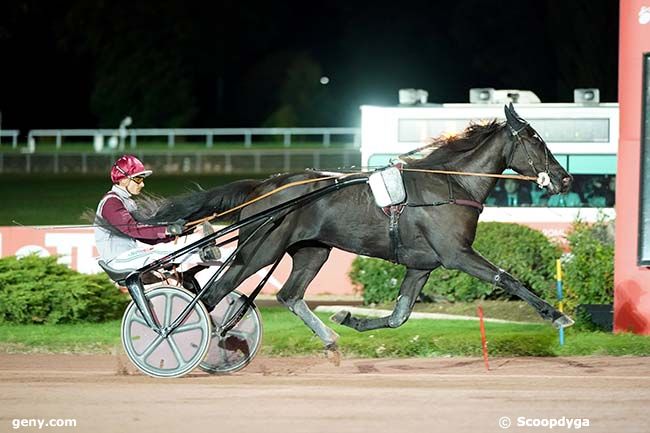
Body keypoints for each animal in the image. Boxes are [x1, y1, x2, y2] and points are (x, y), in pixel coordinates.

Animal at [137, 104, 572, 352]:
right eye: (535, 138)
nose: (564, 179)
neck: (451, 185)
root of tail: (264, 185)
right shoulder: (457, 255)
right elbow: (507, 278)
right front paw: (556, 316)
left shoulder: (421, 265)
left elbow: (399, 315)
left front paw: (349, 319)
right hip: (258, 250)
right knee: (213, 292)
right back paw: (180, 340)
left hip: (312, 251)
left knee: (290, 295)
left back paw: (328, 339)